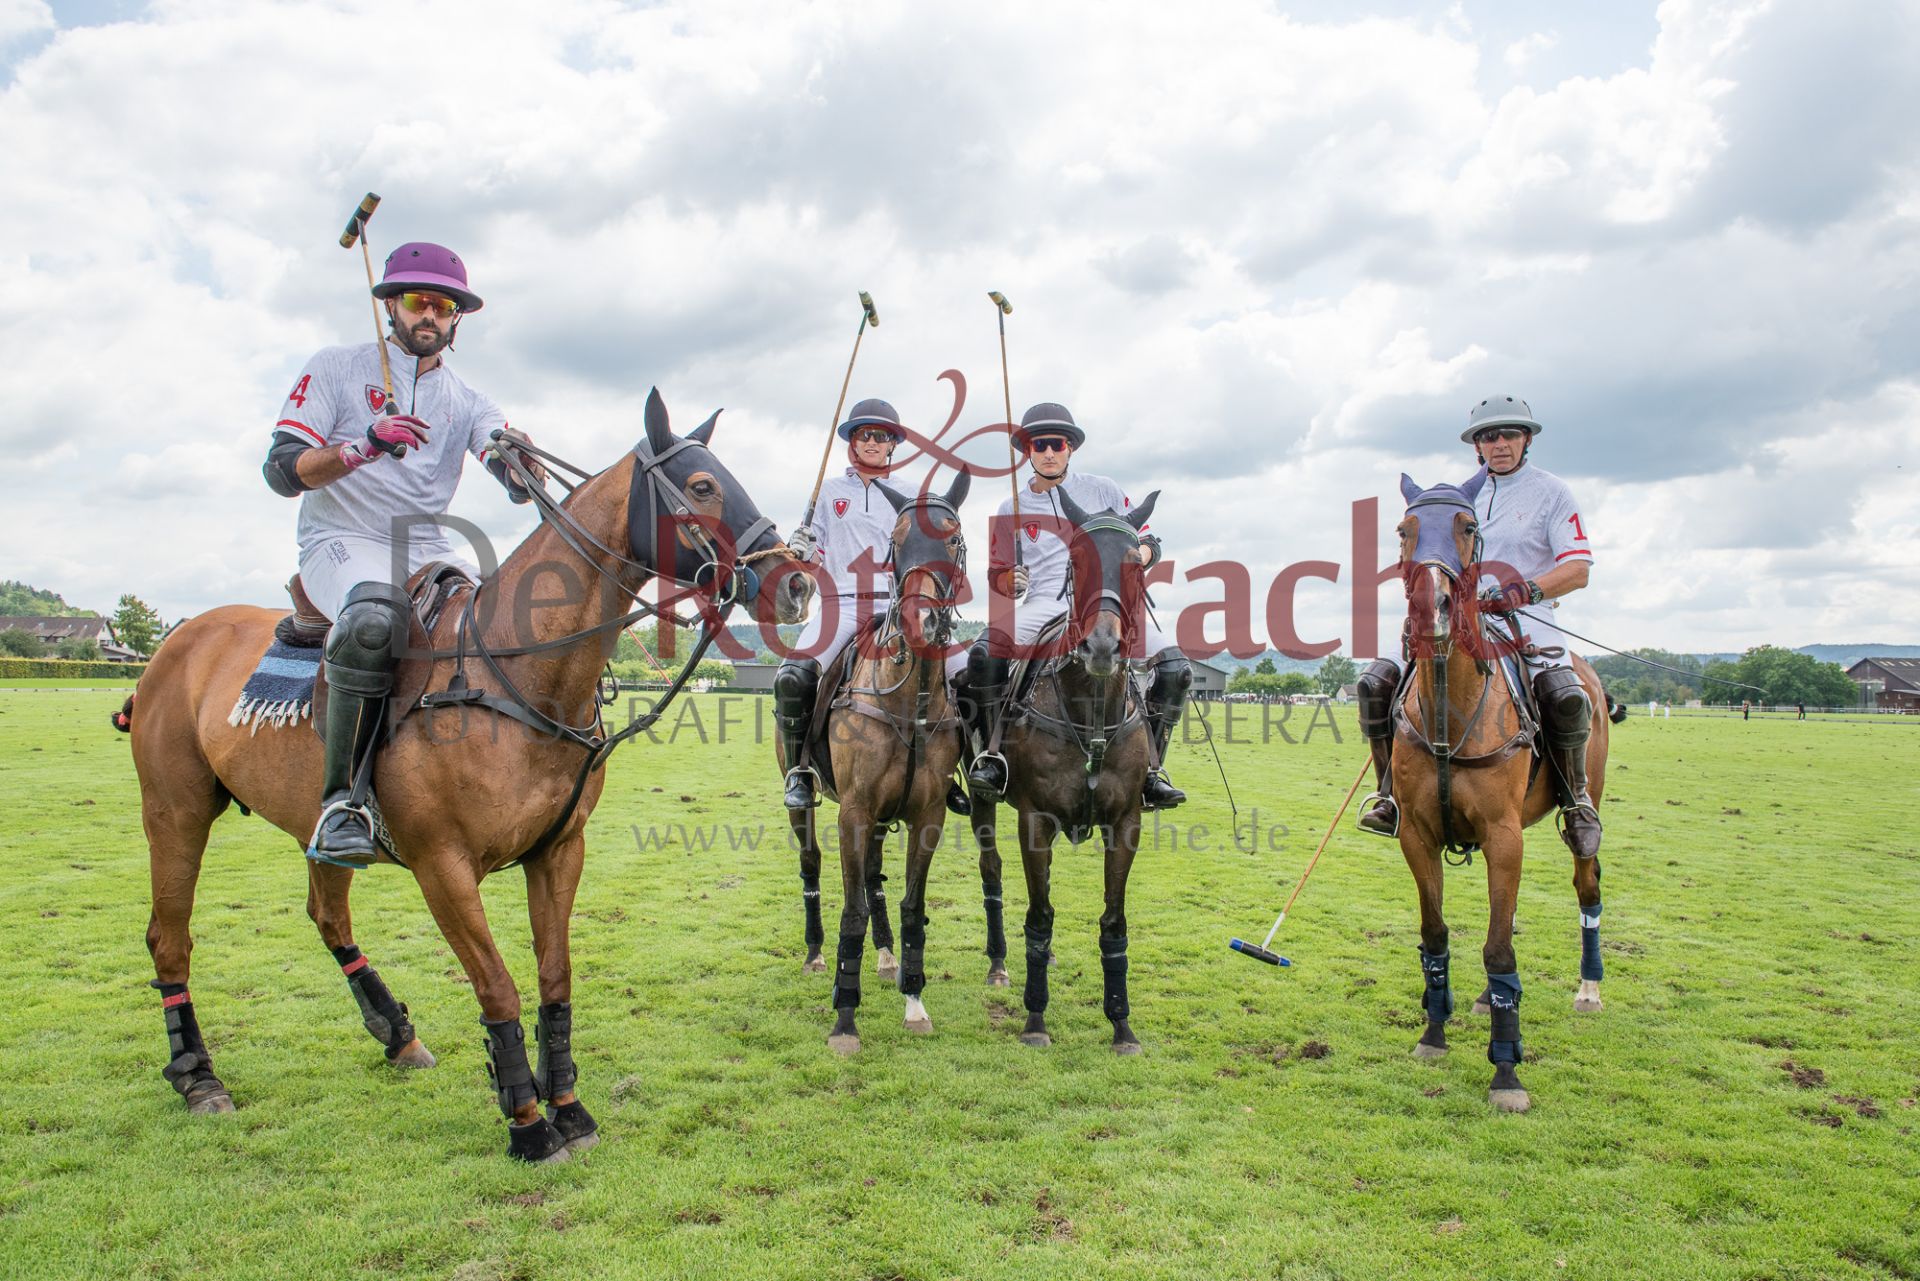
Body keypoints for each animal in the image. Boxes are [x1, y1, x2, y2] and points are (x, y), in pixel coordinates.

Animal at [119, 389, 805, 1161]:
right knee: (168, 936)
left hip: (311, 823)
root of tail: (179, 636)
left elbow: (554, 977)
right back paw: (198, 1074)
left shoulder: (559, 849)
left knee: (327, 913)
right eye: (703, 486)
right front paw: (528, 1123)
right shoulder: (441, 864)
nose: (796, 581)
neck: (519, 676)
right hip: (174, 807)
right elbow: (498, 987)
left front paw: (570, 1108)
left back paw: (396, 1034)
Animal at [778, 473, 971, 1053]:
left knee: (874, 876)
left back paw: (886, 958)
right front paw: (844, 1020)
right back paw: (816, 954)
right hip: (808, 800)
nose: (921, 621)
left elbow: (909, 905)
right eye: (897, 541)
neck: (912, 701)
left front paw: (915, 1001)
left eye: (954, 538)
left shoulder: (928, 814)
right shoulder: (854, 811)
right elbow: (852, 909)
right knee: (812, 862)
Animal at [969, 488, 1159, 1053]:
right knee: (993, 871)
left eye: (1136, 564)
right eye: (1076, 561)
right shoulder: (1034, 820)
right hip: (982, 799)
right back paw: (999, 964)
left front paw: (1122, 1025)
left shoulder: (1126, 823)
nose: (1102, 647)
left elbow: (1114, 922)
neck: (1089, 710)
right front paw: (1035, 1019)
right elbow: (1039, 916)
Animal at [1389, 471, 1610, 1113]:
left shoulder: (1504, 836)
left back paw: (1589, 989)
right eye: (1404, 528)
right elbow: (1437, 934)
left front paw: (1507, 1071)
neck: (1450, 710)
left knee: (1587, 882)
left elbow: (1497, 952)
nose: (1428, 610)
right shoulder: (1417, 835)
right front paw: (1434, 1032)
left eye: (1468, 527)